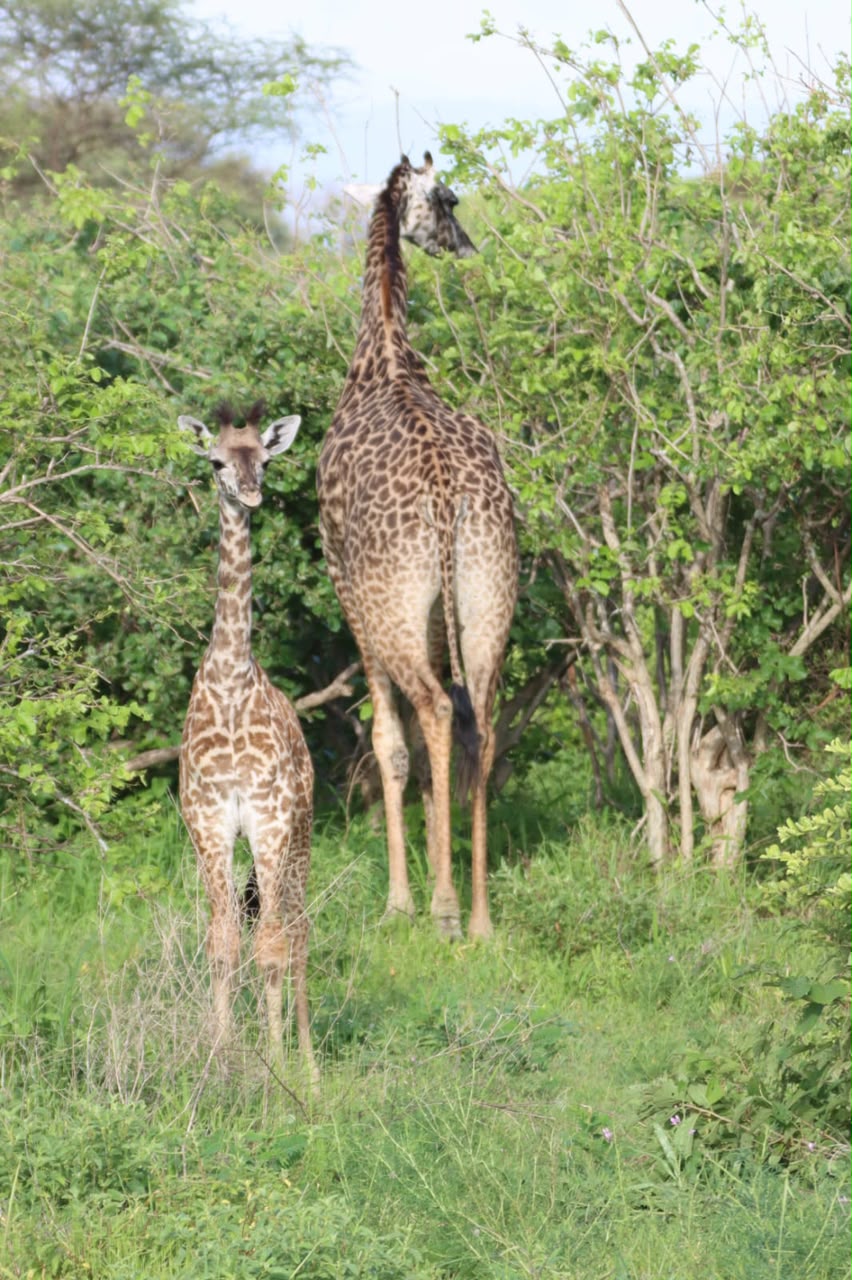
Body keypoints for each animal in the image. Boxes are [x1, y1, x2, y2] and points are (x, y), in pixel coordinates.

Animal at [317, 153, 518, 940]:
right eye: (452, 199)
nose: (465, 245)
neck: (386, 356)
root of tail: (443, 495)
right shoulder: (434, 613)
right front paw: (441, 874)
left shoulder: (350, 594)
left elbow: (390, 746)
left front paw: (405, 897)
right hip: (488, 591)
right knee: (481, 722)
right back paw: (482, 917)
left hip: (392, 605)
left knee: (431, 713)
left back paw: (440, 912)